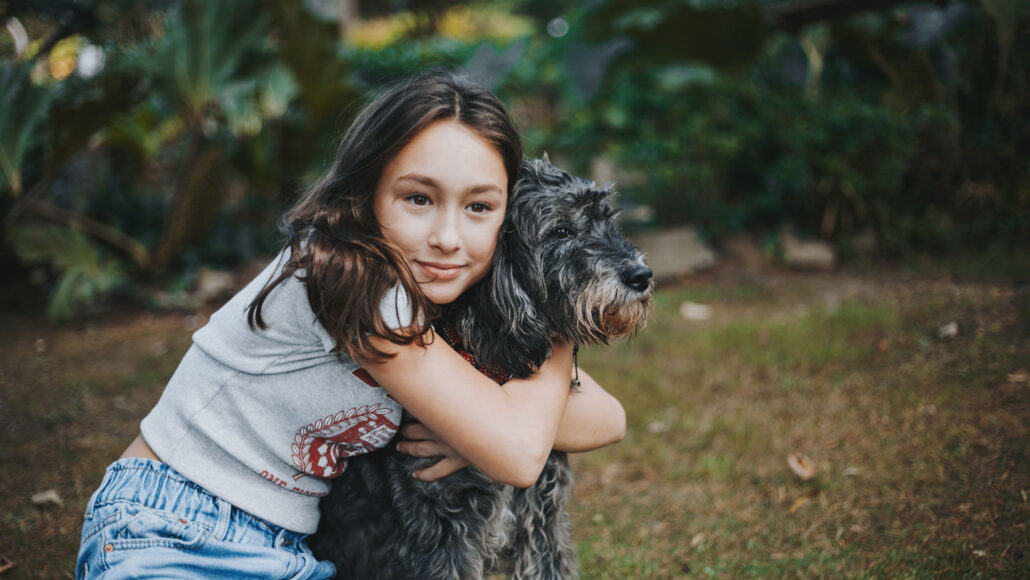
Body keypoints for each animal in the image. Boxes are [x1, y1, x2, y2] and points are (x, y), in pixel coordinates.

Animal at [309, 156, 655, 576]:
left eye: (608, 221)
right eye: (561, 230)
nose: (641, 275)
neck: (492, 371)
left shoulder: (542, 517)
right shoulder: (443, 529)